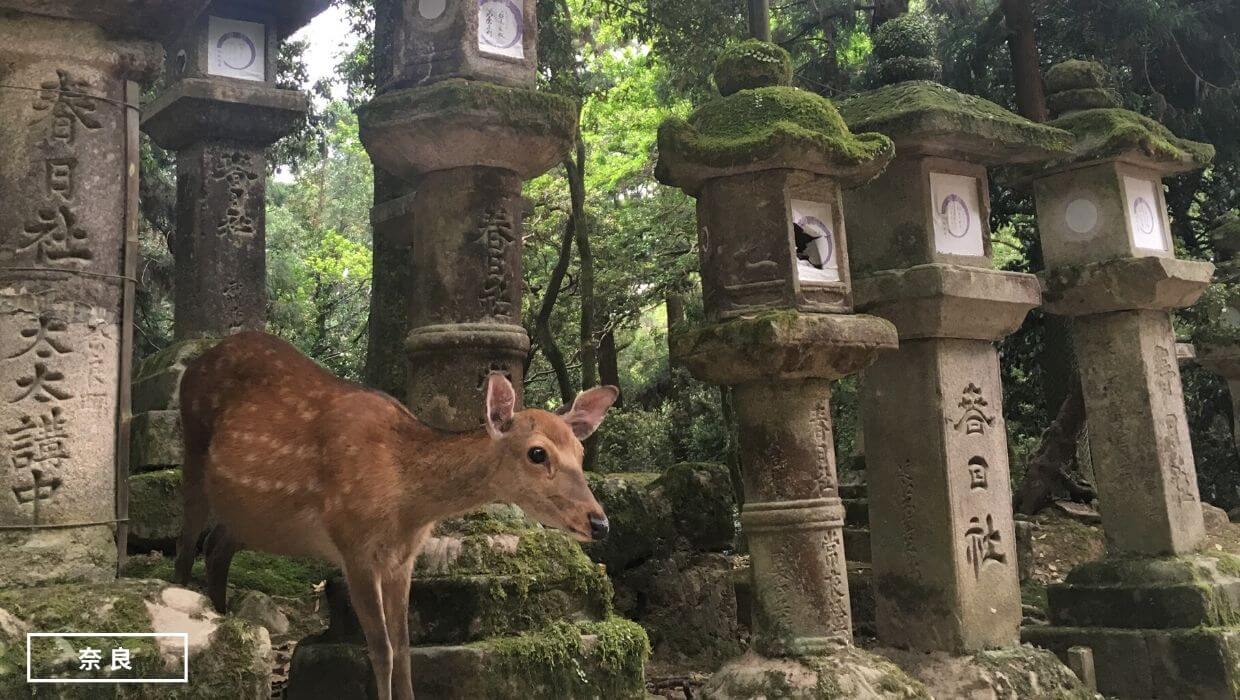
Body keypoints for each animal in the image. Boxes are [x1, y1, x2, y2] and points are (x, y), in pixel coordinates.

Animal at [174, 332, 620, 698]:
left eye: (580, 451)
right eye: (537, 453)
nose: (599, 522)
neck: (406, 502)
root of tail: (193, 365)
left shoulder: (402, 559)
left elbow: (405, 649)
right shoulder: (353, 545)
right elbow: (381, 650)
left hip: (251, 515)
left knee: (216, 546)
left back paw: (221, 618)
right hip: (192, 450)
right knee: (185, 546)